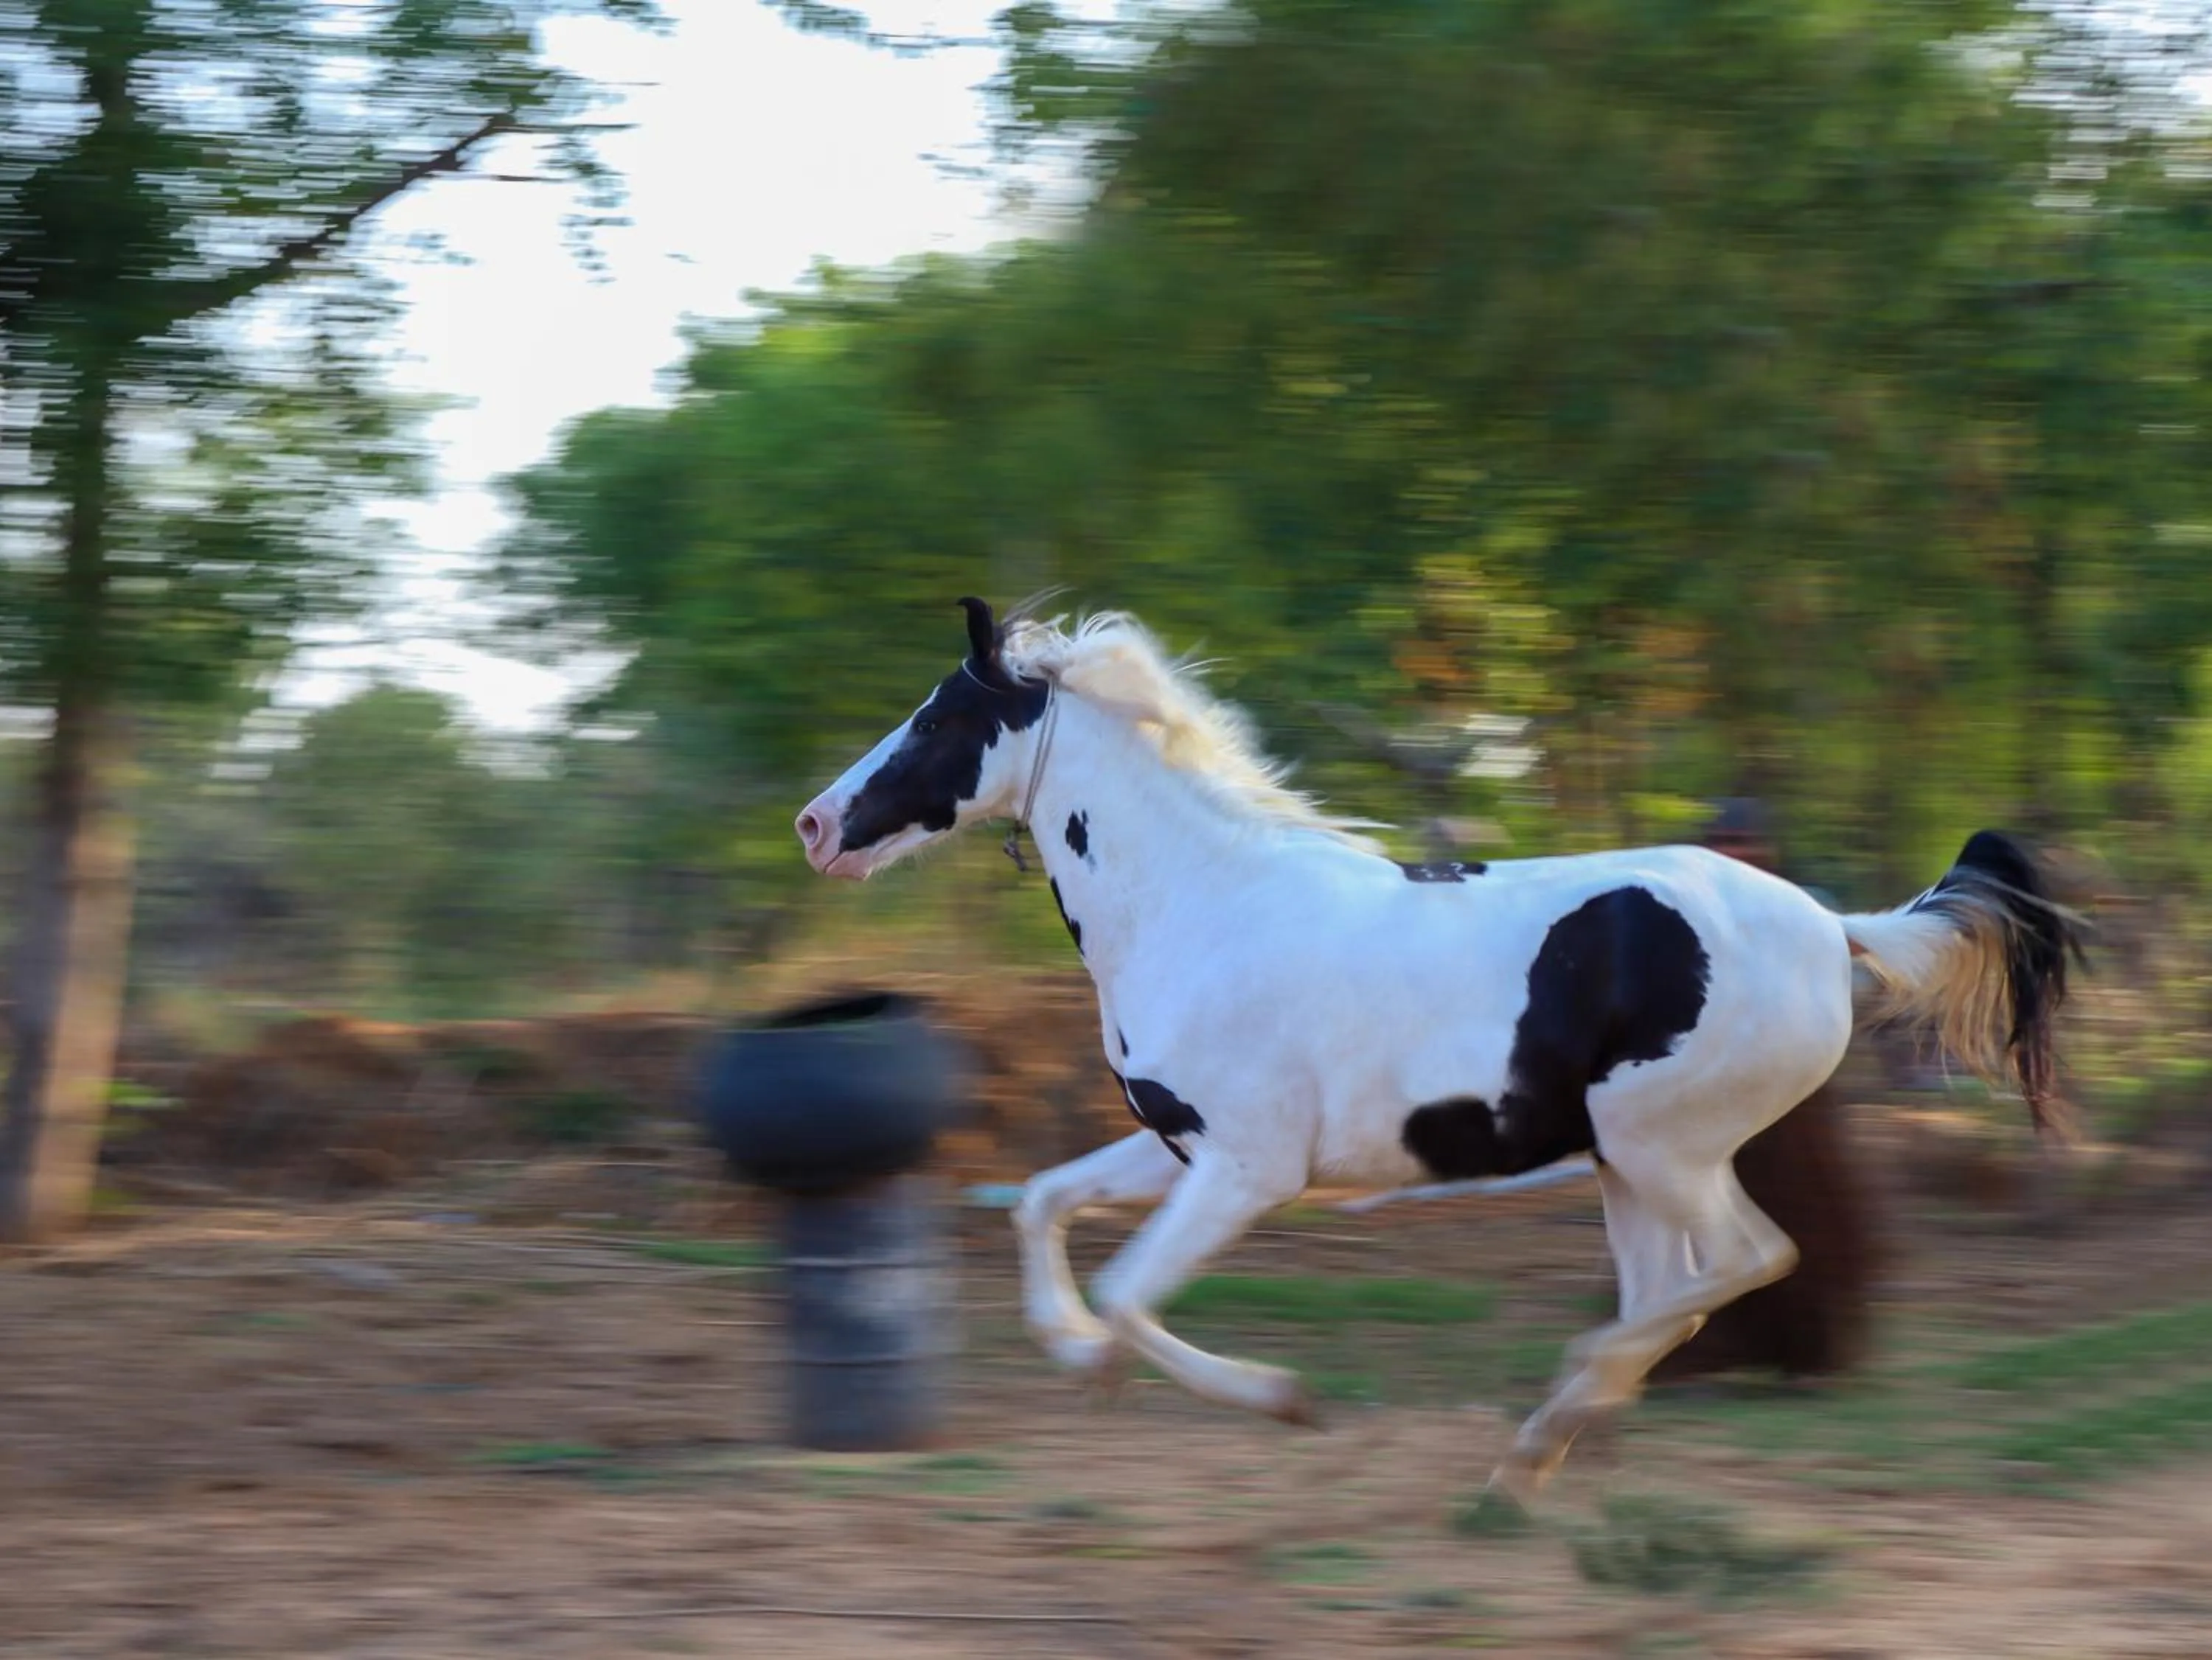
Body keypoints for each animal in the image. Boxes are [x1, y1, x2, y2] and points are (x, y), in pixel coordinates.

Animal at [794, 596, 2084, 1504]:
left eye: (939, 719)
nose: (816, 825)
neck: (1205, 906)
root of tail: (1831, 925)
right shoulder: (1178, 1146)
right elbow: (1042, 1205)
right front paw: (1073, 1356)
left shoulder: (1249, 1172)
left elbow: (1128, 1293)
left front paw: (1281, 1399)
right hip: (1626, 1167)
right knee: (1676, 1294)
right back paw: (1543, 1448)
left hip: (1662, 1149)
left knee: (1743, 1264)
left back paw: (1559, 1404)